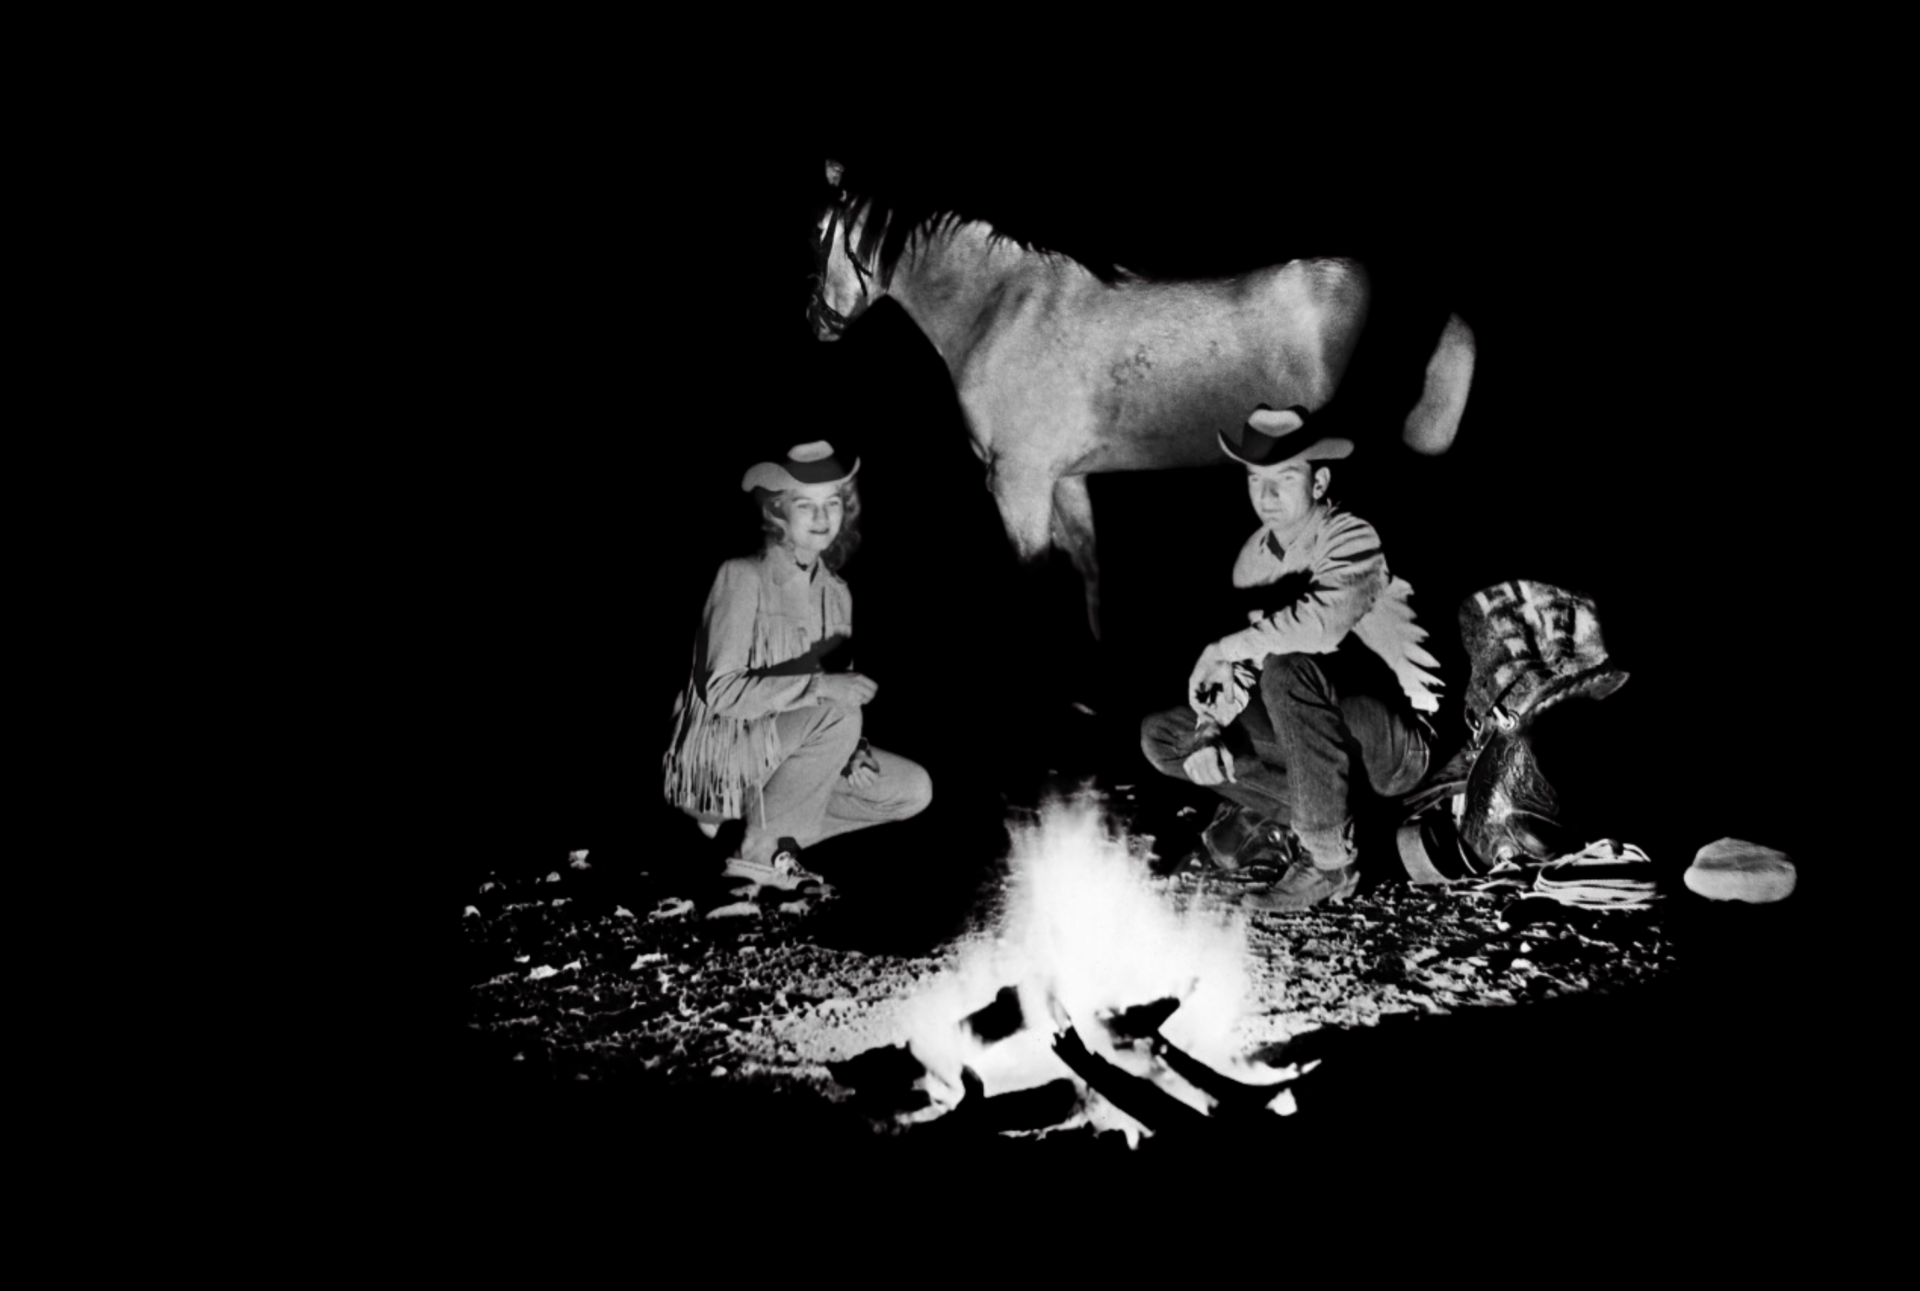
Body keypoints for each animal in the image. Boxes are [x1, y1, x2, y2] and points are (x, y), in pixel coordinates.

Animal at [802, 164, 1474, 637]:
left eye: (816, 234)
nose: (815, 323)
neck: (998, 308)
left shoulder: (1017, 485)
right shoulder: (1063, 481)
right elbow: (1090, 582)